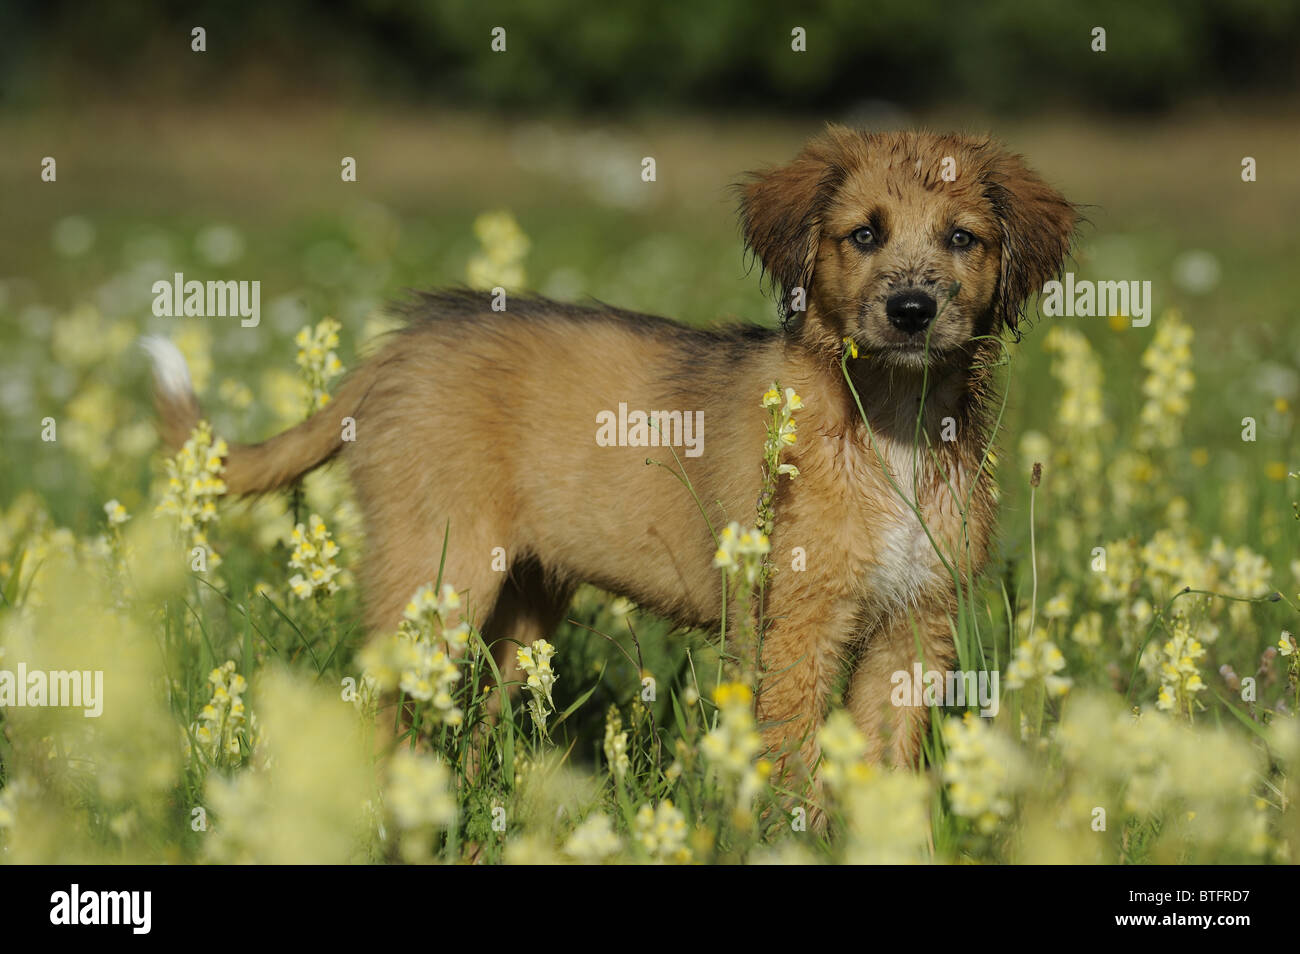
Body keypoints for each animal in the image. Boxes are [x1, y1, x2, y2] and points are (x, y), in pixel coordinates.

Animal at [147, 127, 1071, 785]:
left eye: (962, 239)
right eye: (864, 235)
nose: (912, 310)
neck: (889, 425)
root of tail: (395, 348)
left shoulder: (915, 626)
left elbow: (886, 768)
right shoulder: (794, 626)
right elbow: (792, 760)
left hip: (521, 603)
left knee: (479, 721)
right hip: (433, 576)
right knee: (382, 709)